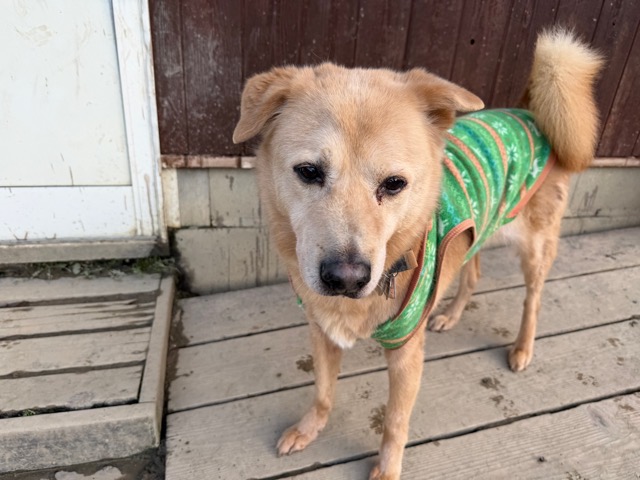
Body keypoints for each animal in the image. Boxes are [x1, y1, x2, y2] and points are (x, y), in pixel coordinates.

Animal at [233, 29, 603, 479]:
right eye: (308, 172)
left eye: (394, 184)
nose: (346, 278)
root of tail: (529, 111)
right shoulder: (321, 332)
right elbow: (322, 391)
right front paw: (309, 429)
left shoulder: (406, 354)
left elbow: (394, 421)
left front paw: (387, 469)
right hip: (479, 232)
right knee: (473, 274)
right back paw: (450, 315)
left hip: (535, 247)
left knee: (532, 299)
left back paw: (522, 349)